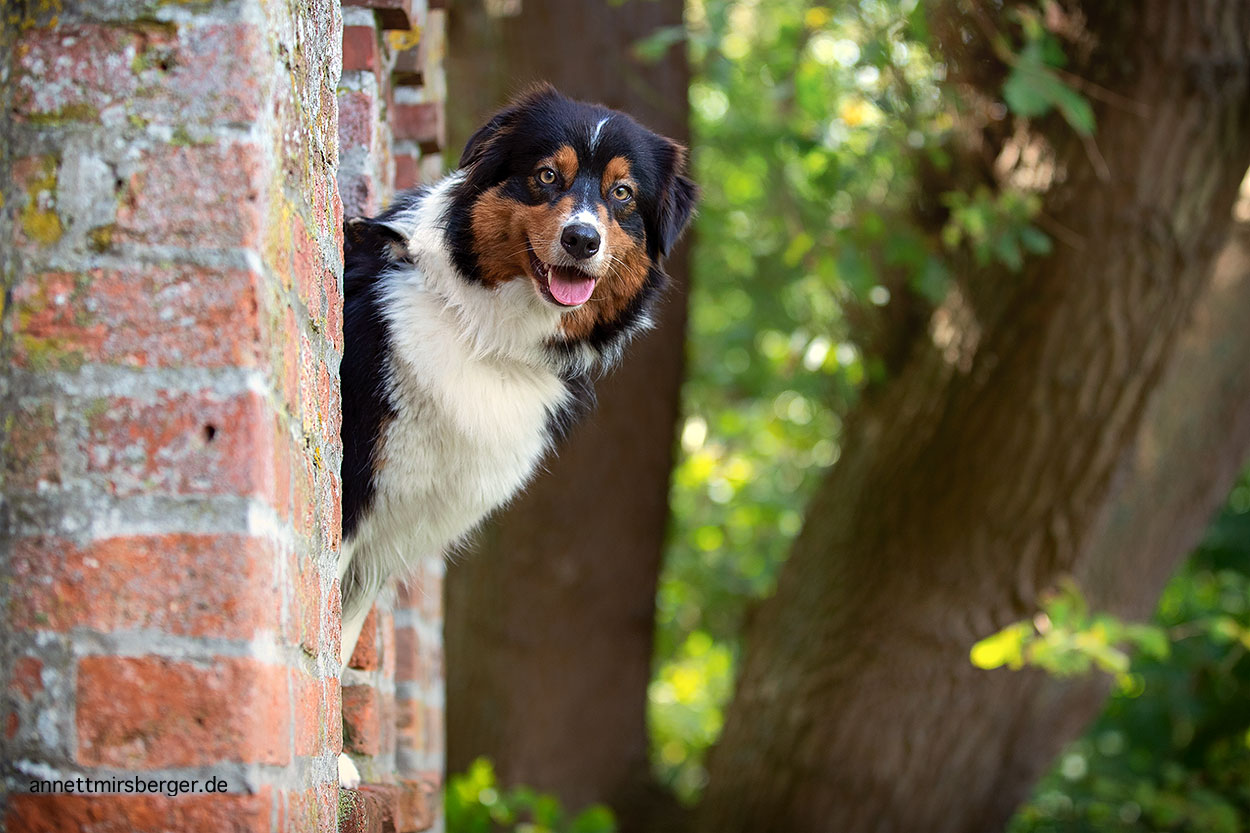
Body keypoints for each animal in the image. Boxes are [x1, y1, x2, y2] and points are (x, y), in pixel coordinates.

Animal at [337, 84, 700, 785]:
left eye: (622, 194)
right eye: (546, 176)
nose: (582, 239)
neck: (485, 333)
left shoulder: (393, 526)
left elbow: (340, 633)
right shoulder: (357, 488)